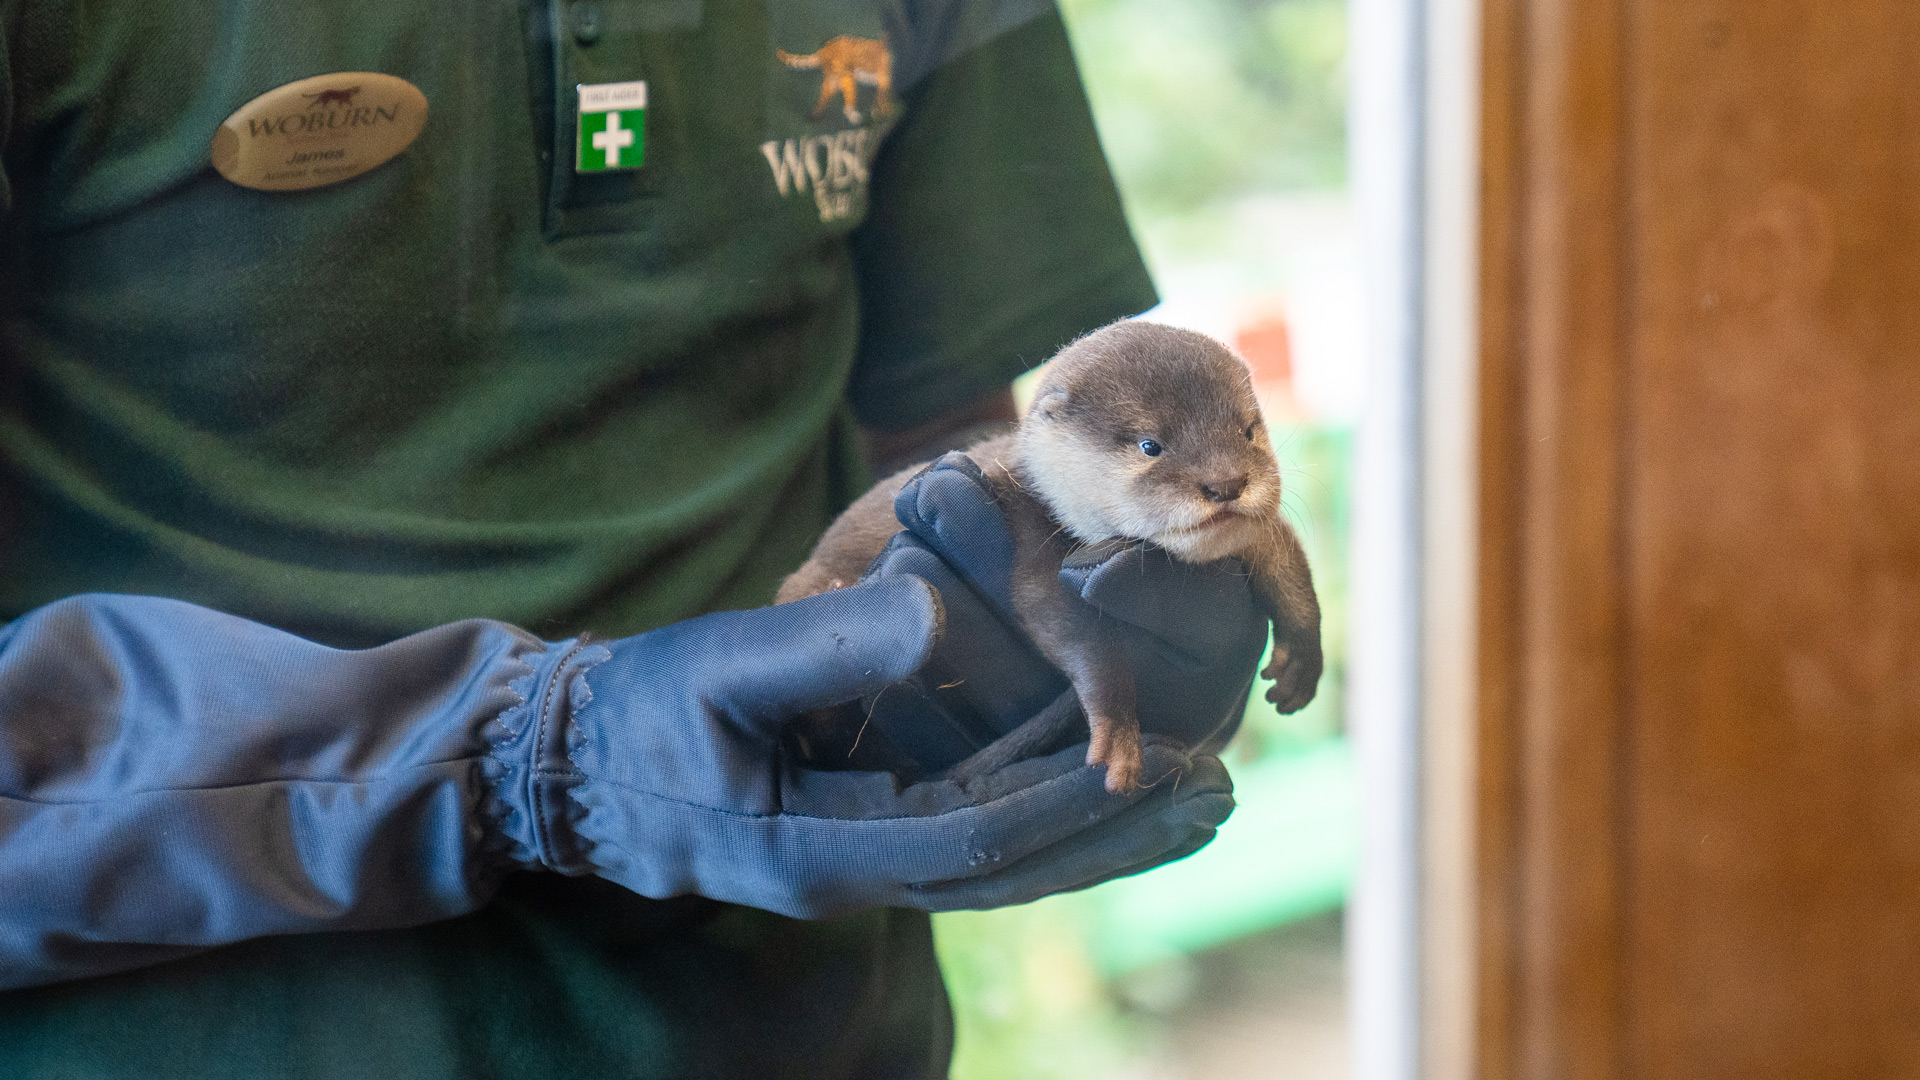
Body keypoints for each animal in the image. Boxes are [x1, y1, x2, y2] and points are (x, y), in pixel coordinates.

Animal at [777, 320, 1323, 792]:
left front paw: (1302, 657)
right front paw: (1116, 729)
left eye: (1248, 430)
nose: (1227, 483)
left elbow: (1289, 568)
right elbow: (1065, 626)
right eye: (1151, 445)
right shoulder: (1031, 534)